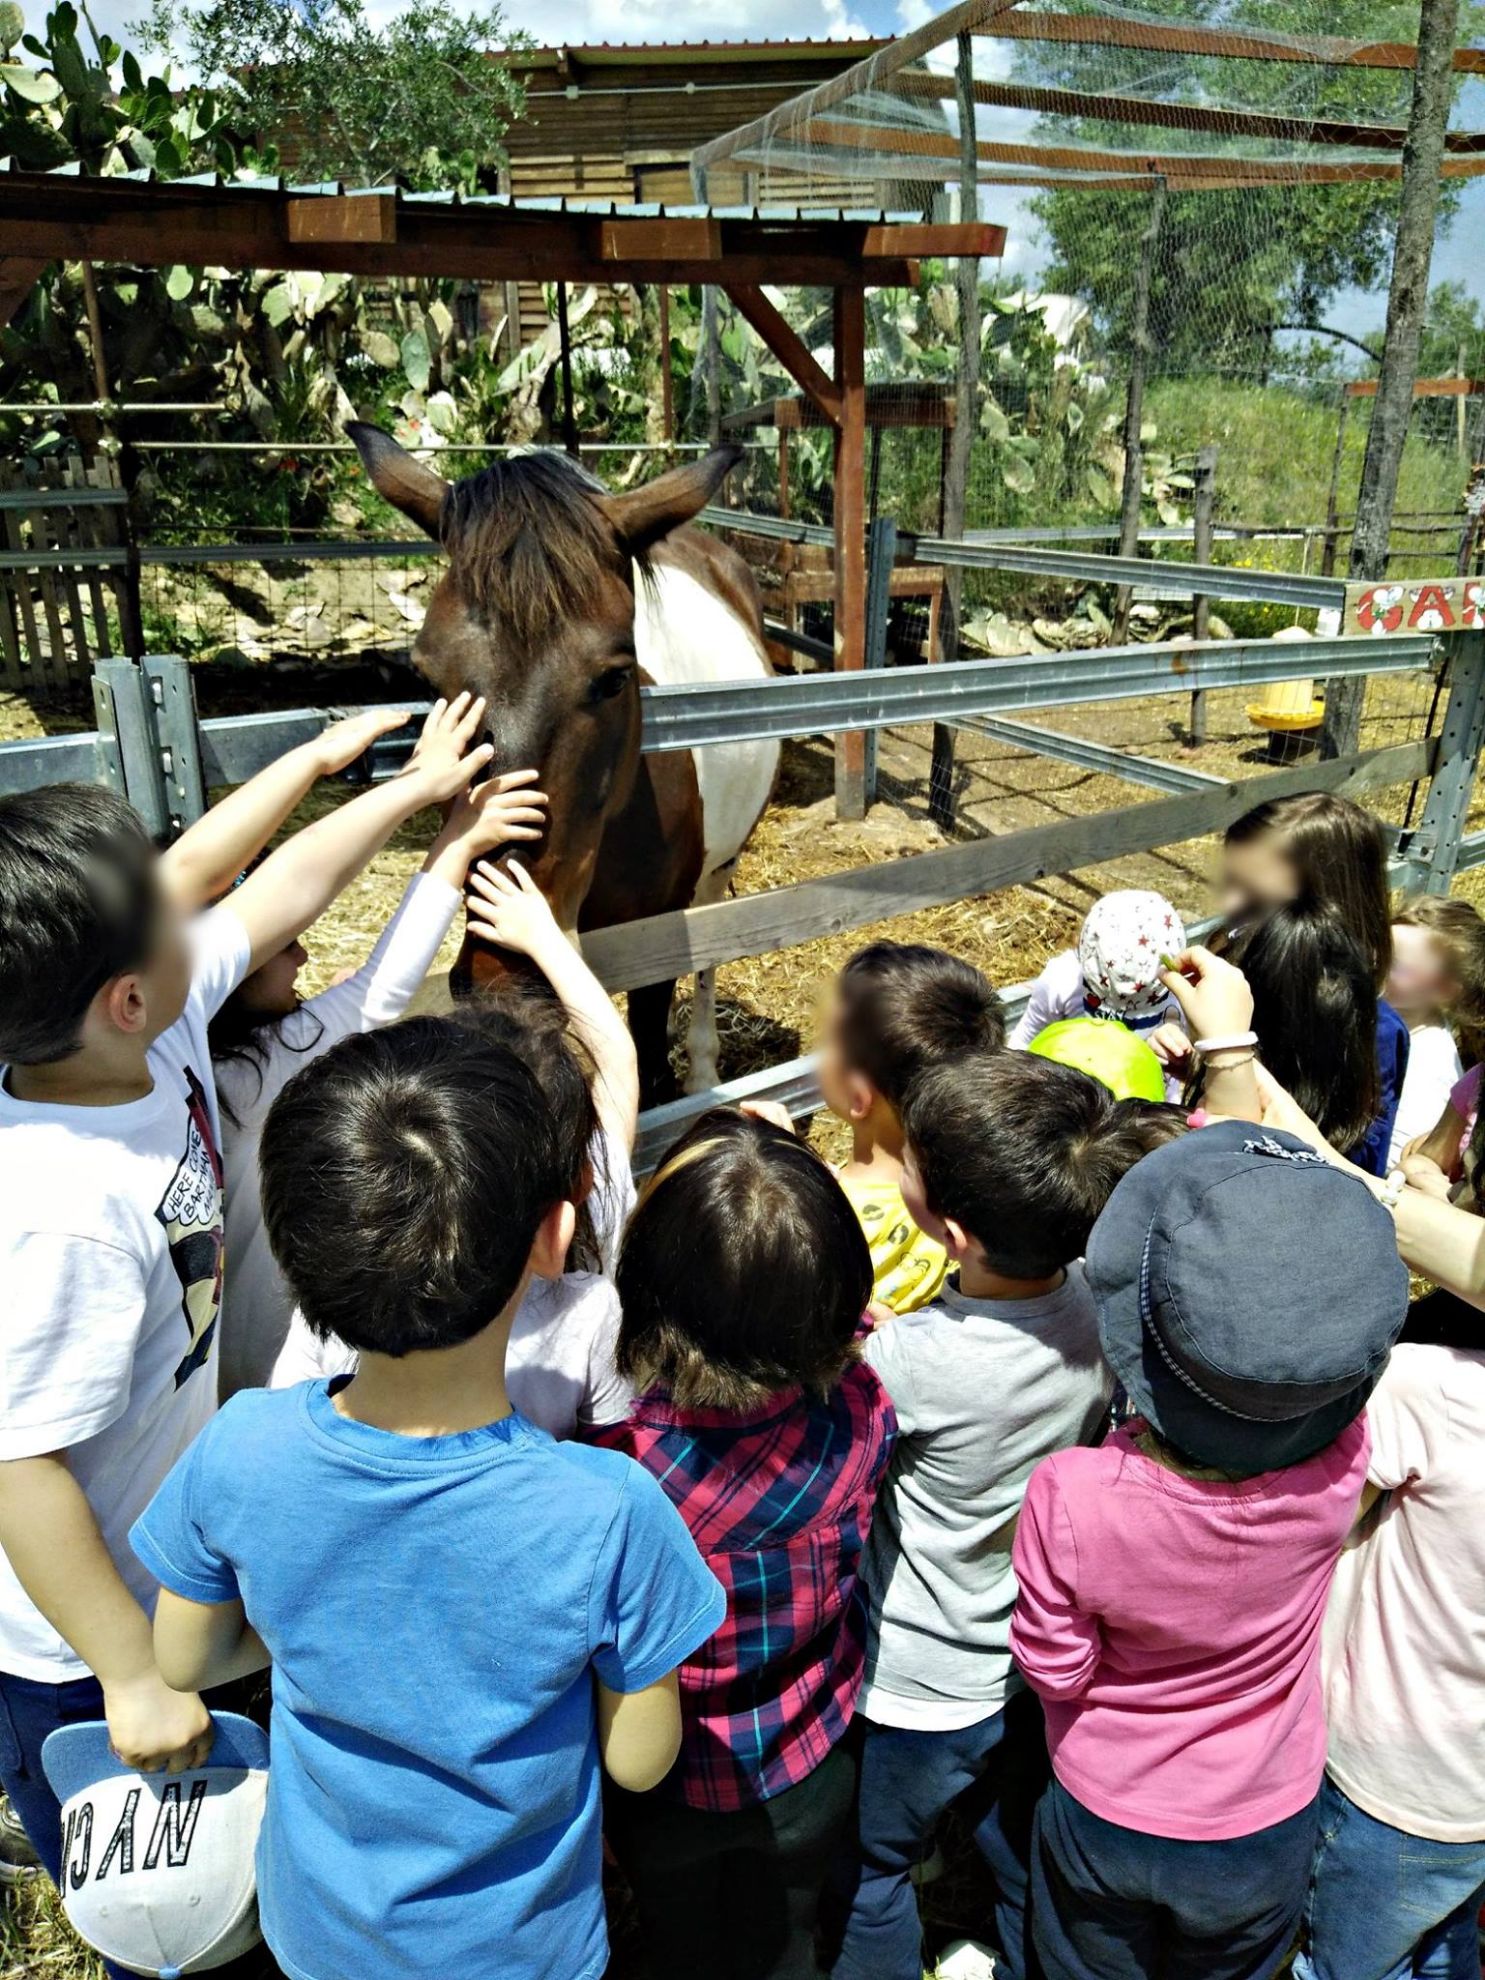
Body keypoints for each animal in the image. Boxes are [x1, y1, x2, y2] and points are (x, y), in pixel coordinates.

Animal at [348, 425, 780, 1108]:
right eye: (426, 677)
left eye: (615, 677)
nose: (508, 972)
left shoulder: (658, 927)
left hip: (719, 868)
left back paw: (705, 1069)